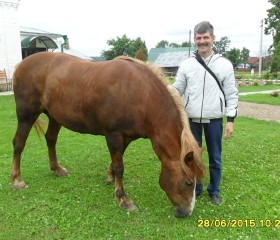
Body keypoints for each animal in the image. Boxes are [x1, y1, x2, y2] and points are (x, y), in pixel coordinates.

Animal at [11, 52, 203, 218]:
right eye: (188, 182)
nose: (187, 212)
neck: (139, 93)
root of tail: (22, 64)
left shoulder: (125, 137)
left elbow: (116, 161)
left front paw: (110, 178)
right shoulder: (113, 135)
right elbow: (119, 166)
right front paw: (123, 198)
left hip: (54, 117)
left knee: (51, 139)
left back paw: (56, 169)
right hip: (26, 115)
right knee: (18, 143)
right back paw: (17, 179)